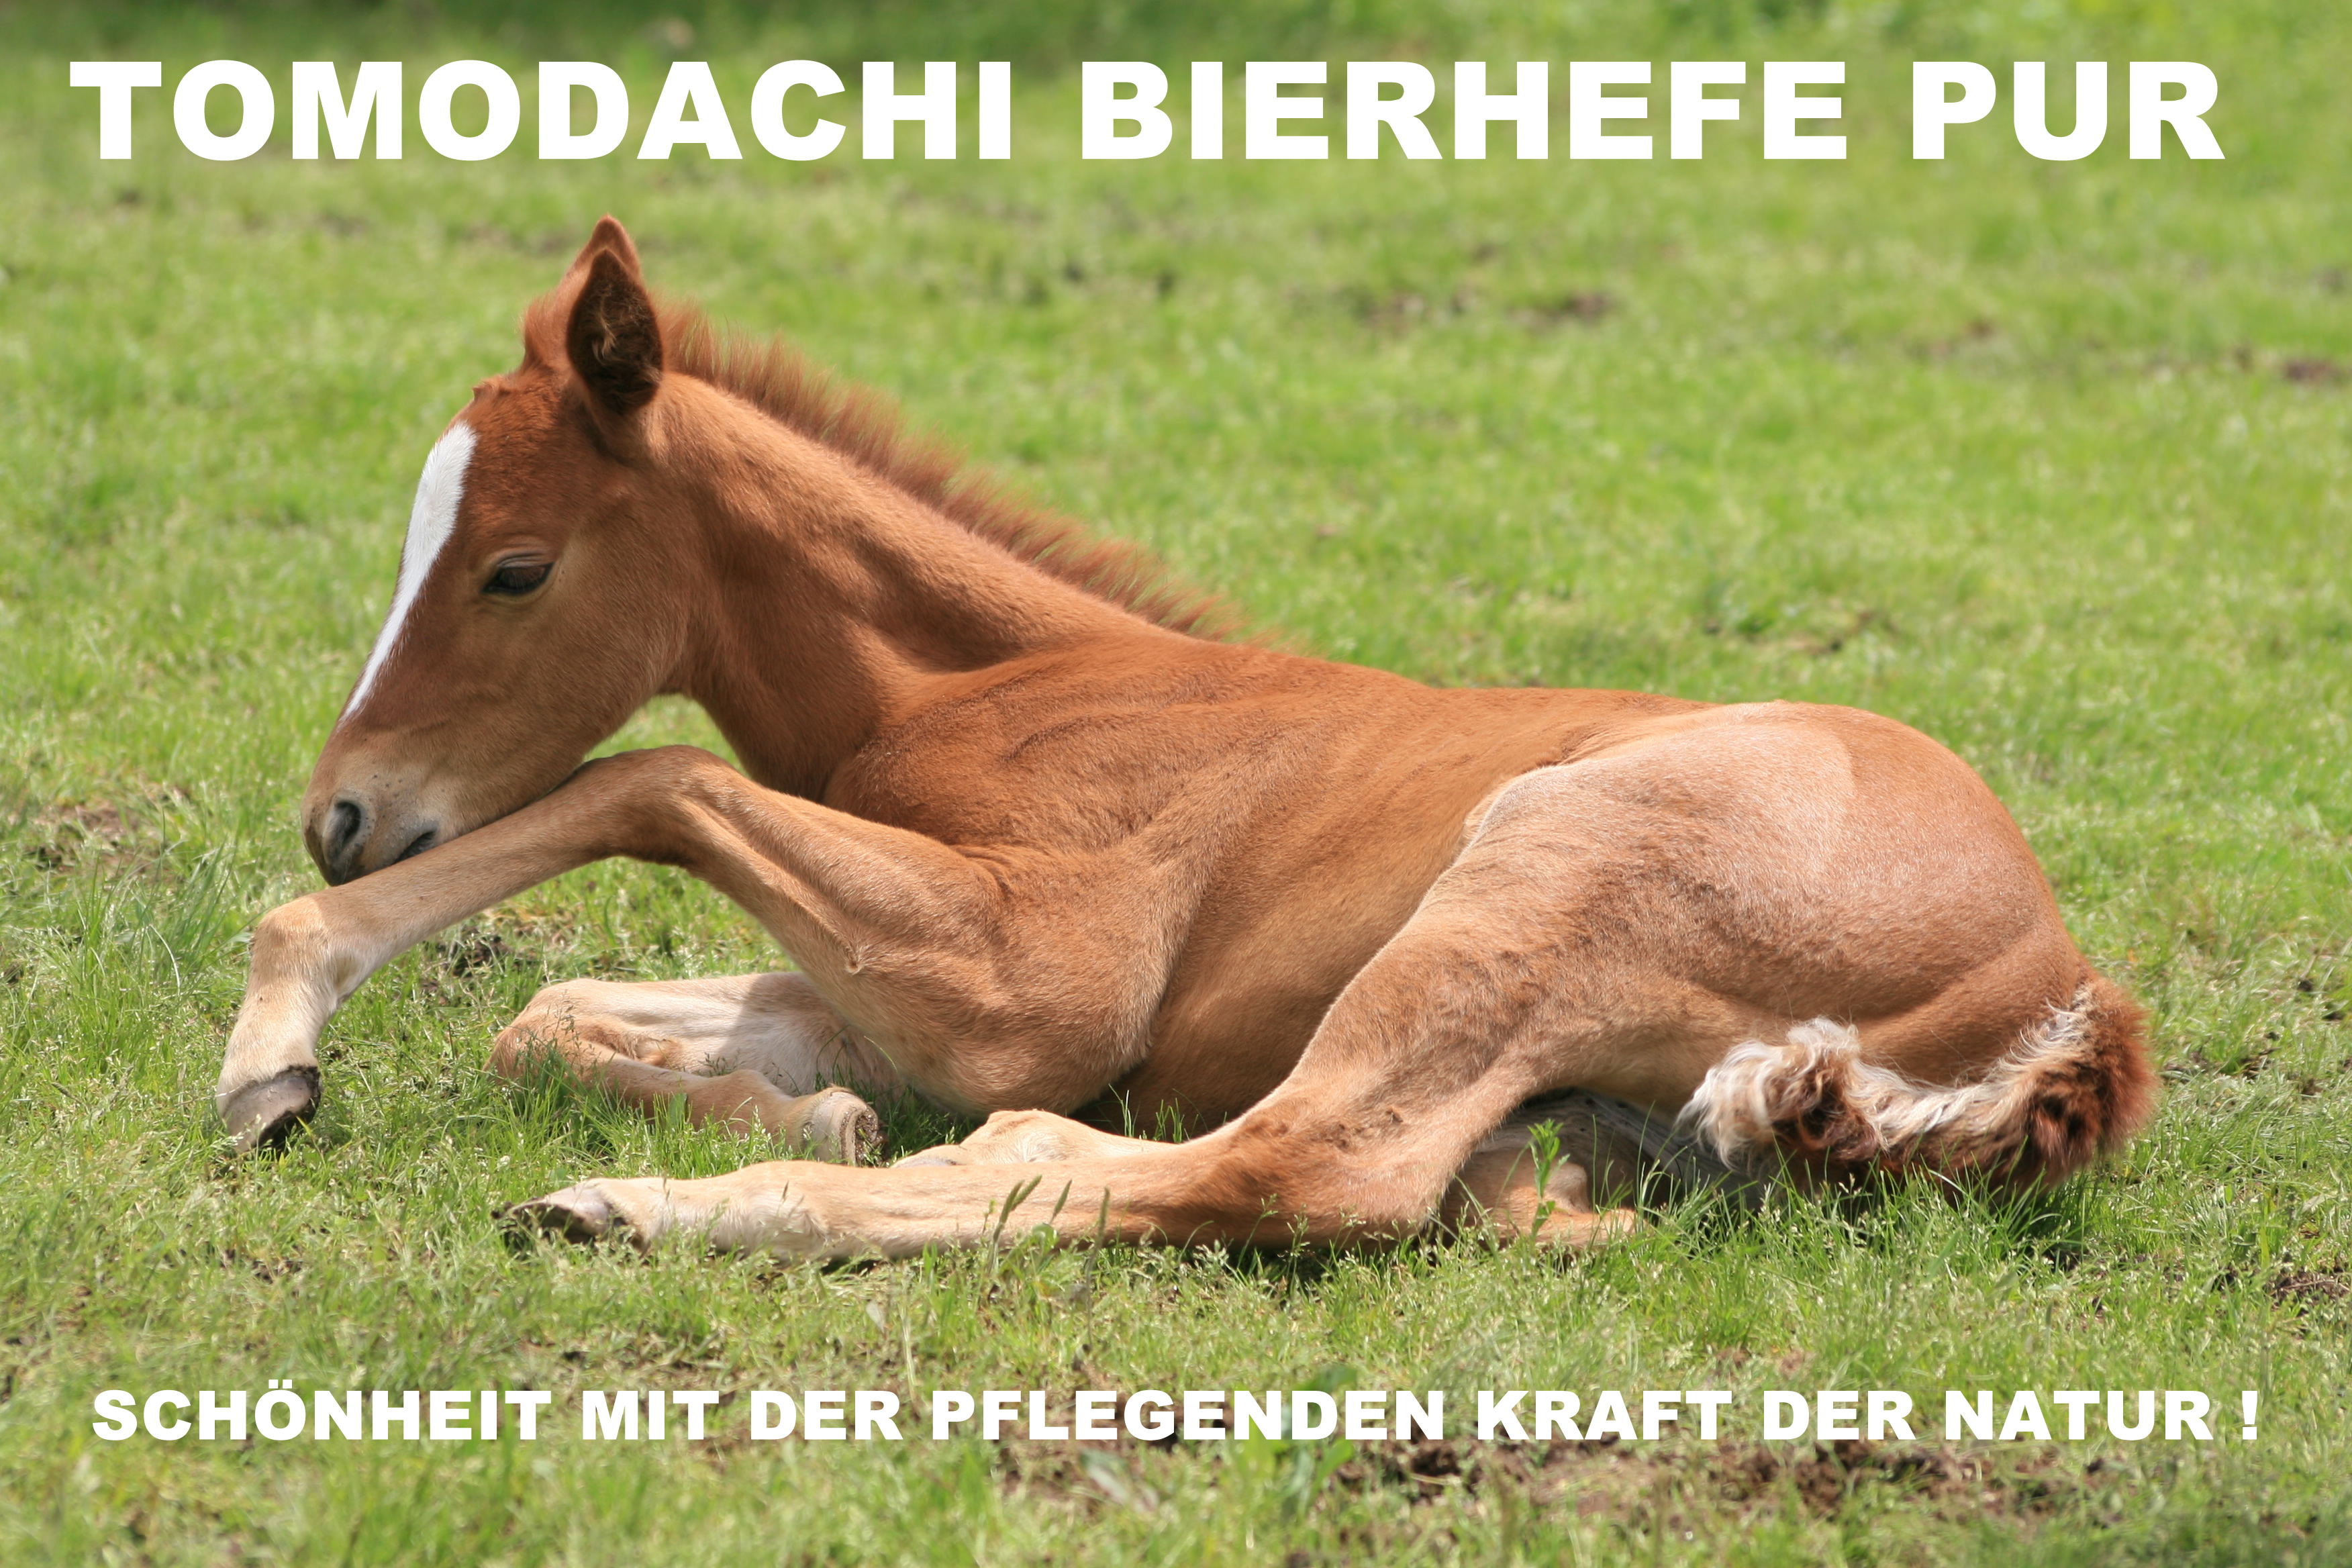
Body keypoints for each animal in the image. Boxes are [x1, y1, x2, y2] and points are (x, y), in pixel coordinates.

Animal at [211, 218, 2155, 1260]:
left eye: (514, 567)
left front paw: (273, 1045)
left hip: (1543, 877)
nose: (339, 814)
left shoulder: (1040, 989)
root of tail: (2061, 994)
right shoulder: (884, 985)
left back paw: (639, 1209)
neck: (996, 685)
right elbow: (548, 1013)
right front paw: (791, 1103)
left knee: (1298, 1164)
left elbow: (657, 778)